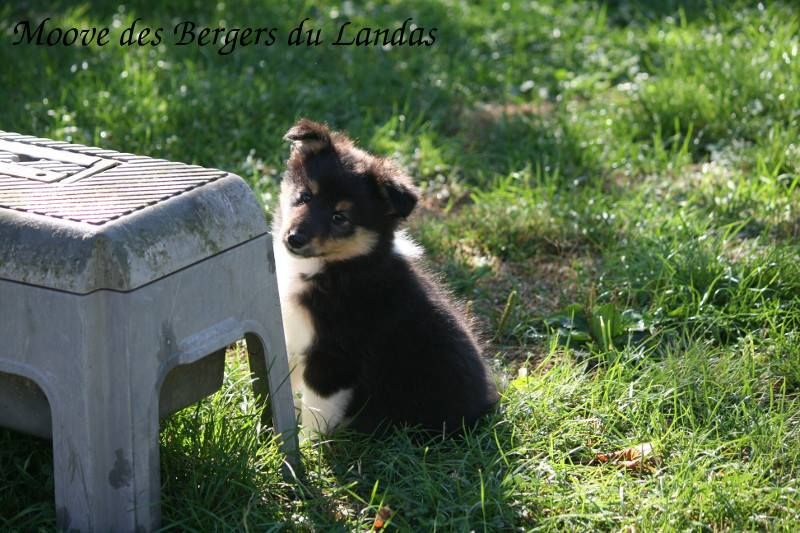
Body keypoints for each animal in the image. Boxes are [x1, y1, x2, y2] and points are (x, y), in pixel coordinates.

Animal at [273, 119, 498, 438]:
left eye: (340, 218)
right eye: (304, 196)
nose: (294, 238)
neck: (332, 268)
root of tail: (483, 410)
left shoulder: (335, 357)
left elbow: (316, 411)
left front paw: (307, 444)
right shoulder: (294, 336)